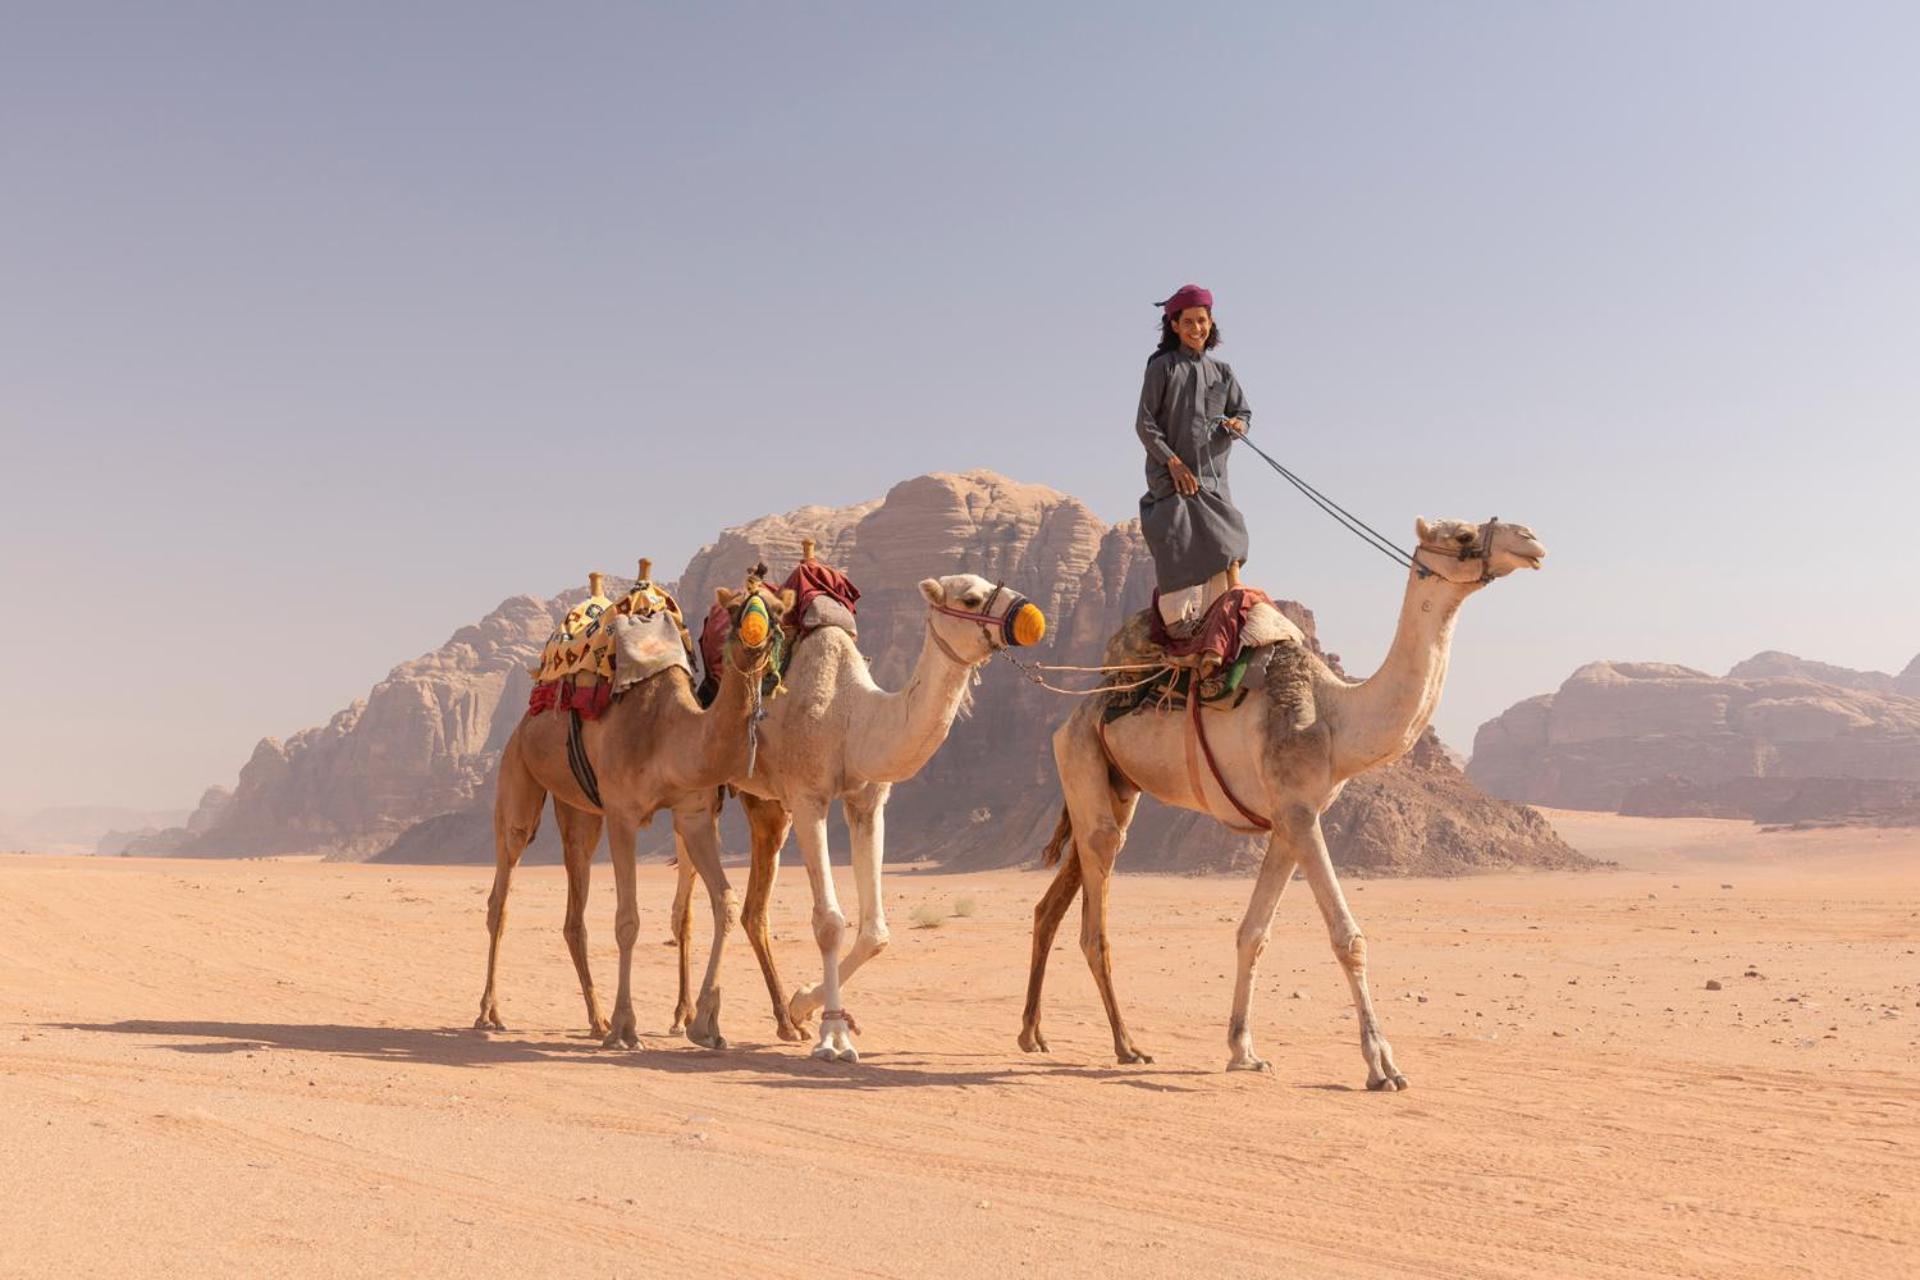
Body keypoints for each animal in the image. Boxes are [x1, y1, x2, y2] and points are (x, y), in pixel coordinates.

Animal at [472, 571, 787, 1051]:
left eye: (780, 610)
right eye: (734, 610)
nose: (754, 635)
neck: (669, 732)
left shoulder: (694, 815)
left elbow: (726, 904)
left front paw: (706, 1025)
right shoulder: (623, 813)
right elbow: (628, 920)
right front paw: (626, 1028)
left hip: (580, 811)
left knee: (574, 911)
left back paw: (596, 1019)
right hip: (517, 775)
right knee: (501, 895)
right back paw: (490, 1012)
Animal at [695, 556, 1052, 1066]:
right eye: (970, 599)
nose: (1031, 616)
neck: (850, 716)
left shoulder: (867, 801)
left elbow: (875, 933)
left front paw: (805, 1004)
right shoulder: (808, 797)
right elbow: (829, 922)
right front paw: (833, 1039)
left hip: (764, 804)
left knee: (750, 909)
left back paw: (776, 1023)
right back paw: (682, 1023)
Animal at [1021, 514, 1543, 1090]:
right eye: (1463, 537)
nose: (1529, 540)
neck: (1336, 719)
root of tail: (1075, 715)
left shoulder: (1287, 821)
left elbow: (1253, 933)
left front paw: (1244, 1051)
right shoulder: (1298, 811)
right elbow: (1348, 938)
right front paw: (1382, 1066)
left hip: (1114, 786)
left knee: (1053, 902)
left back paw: (1033, 1034)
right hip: (1083, 761)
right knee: (1095, 925)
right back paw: (1126, 1046)